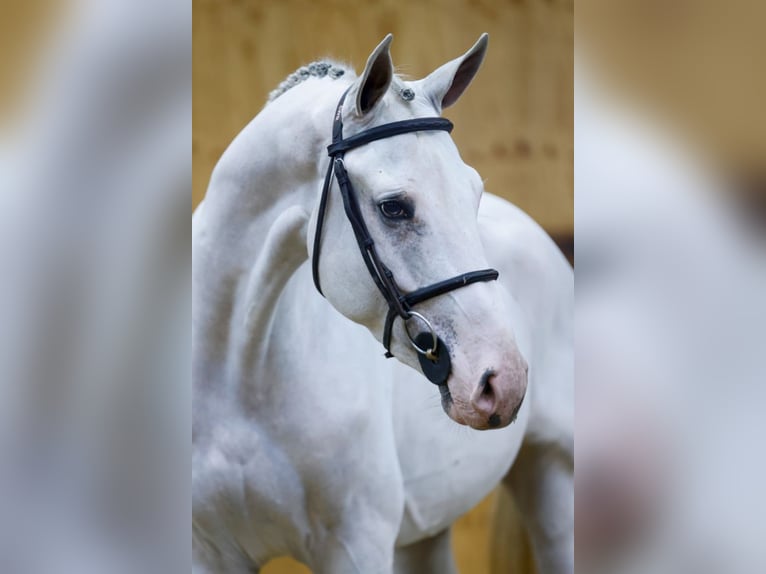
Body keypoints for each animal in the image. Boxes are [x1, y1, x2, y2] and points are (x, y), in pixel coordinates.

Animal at [195, 33, 572, 572]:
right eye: (393, 207)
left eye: (473, 192)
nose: (503, 381)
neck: (239, 379)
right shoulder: (208, 553)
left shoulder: (356, 546)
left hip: (553, 474)